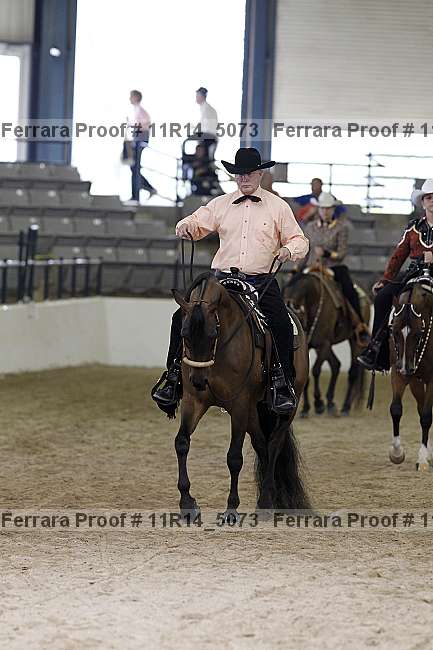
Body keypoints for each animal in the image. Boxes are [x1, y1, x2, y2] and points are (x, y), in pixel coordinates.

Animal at [171, 272, 311, 519]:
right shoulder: (193, 400)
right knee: (261, 444)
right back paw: (270, 498)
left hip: (286, 409)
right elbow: (182, 443)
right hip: (254, 411)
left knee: (274, 445)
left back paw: (265, 502)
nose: (198, 380)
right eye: (183, 333)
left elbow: (234, 457)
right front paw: (188, 503)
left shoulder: (239, 404)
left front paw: (231, 508)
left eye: (213, 333)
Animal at [282, 270, 370, 416]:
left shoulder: (323, 344)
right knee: (336, 365)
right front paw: (307, 408)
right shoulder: (311, 347)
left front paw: (318, 403)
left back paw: (345, 407)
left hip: (355, 340)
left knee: (353, 372)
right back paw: (330, 403)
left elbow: (316, 370)